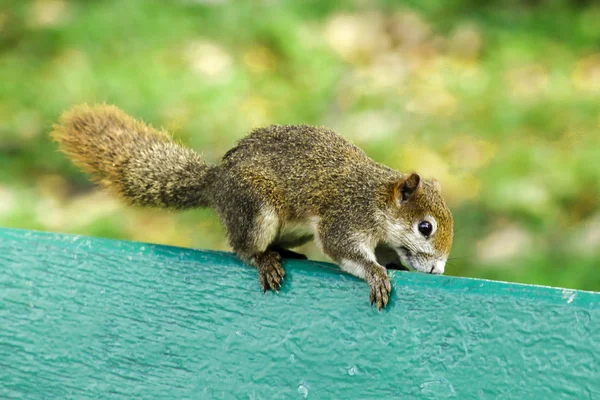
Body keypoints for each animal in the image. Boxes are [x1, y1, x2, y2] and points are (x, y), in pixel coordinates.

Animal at [51, 104, 452, 310]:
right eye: (425, 227)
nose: (437, 270)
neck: (377, 198)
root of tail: (217, 184)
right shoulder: (345, 218)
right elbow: (345, 250)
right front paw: (376, 274)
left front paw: (394, 265)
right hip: (258, 208)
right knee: (242, 248)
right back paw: (264, 259)